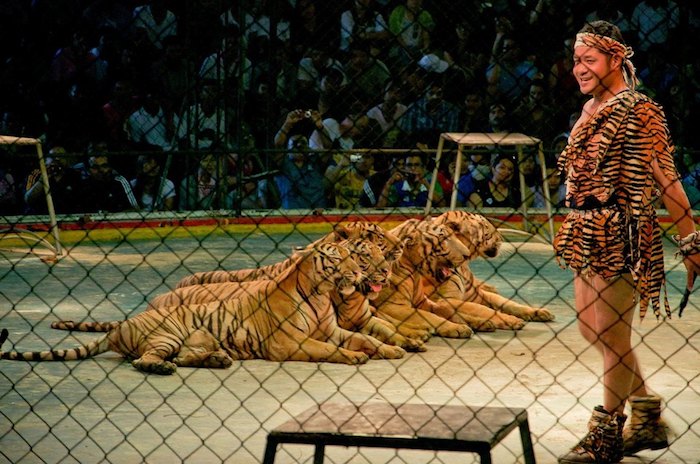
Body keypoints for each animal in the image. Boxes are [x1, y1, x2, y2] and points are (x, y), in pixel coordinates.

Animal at [0, 243, 396, 374]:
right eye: (339, 258)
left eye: (354, 256)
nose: (358, 273)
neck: (320, 293)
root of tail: (119, 326)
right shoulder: (290, 342)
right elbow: (332, 350)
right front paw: (355, 358)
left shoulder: (332, 328)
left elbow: (366, 338)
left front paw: (391, 349)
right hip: (168, 334)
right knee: (145, 360)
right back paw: (164, 369)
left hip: (198, 339)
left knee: (186, 357)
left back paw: (217, 359)